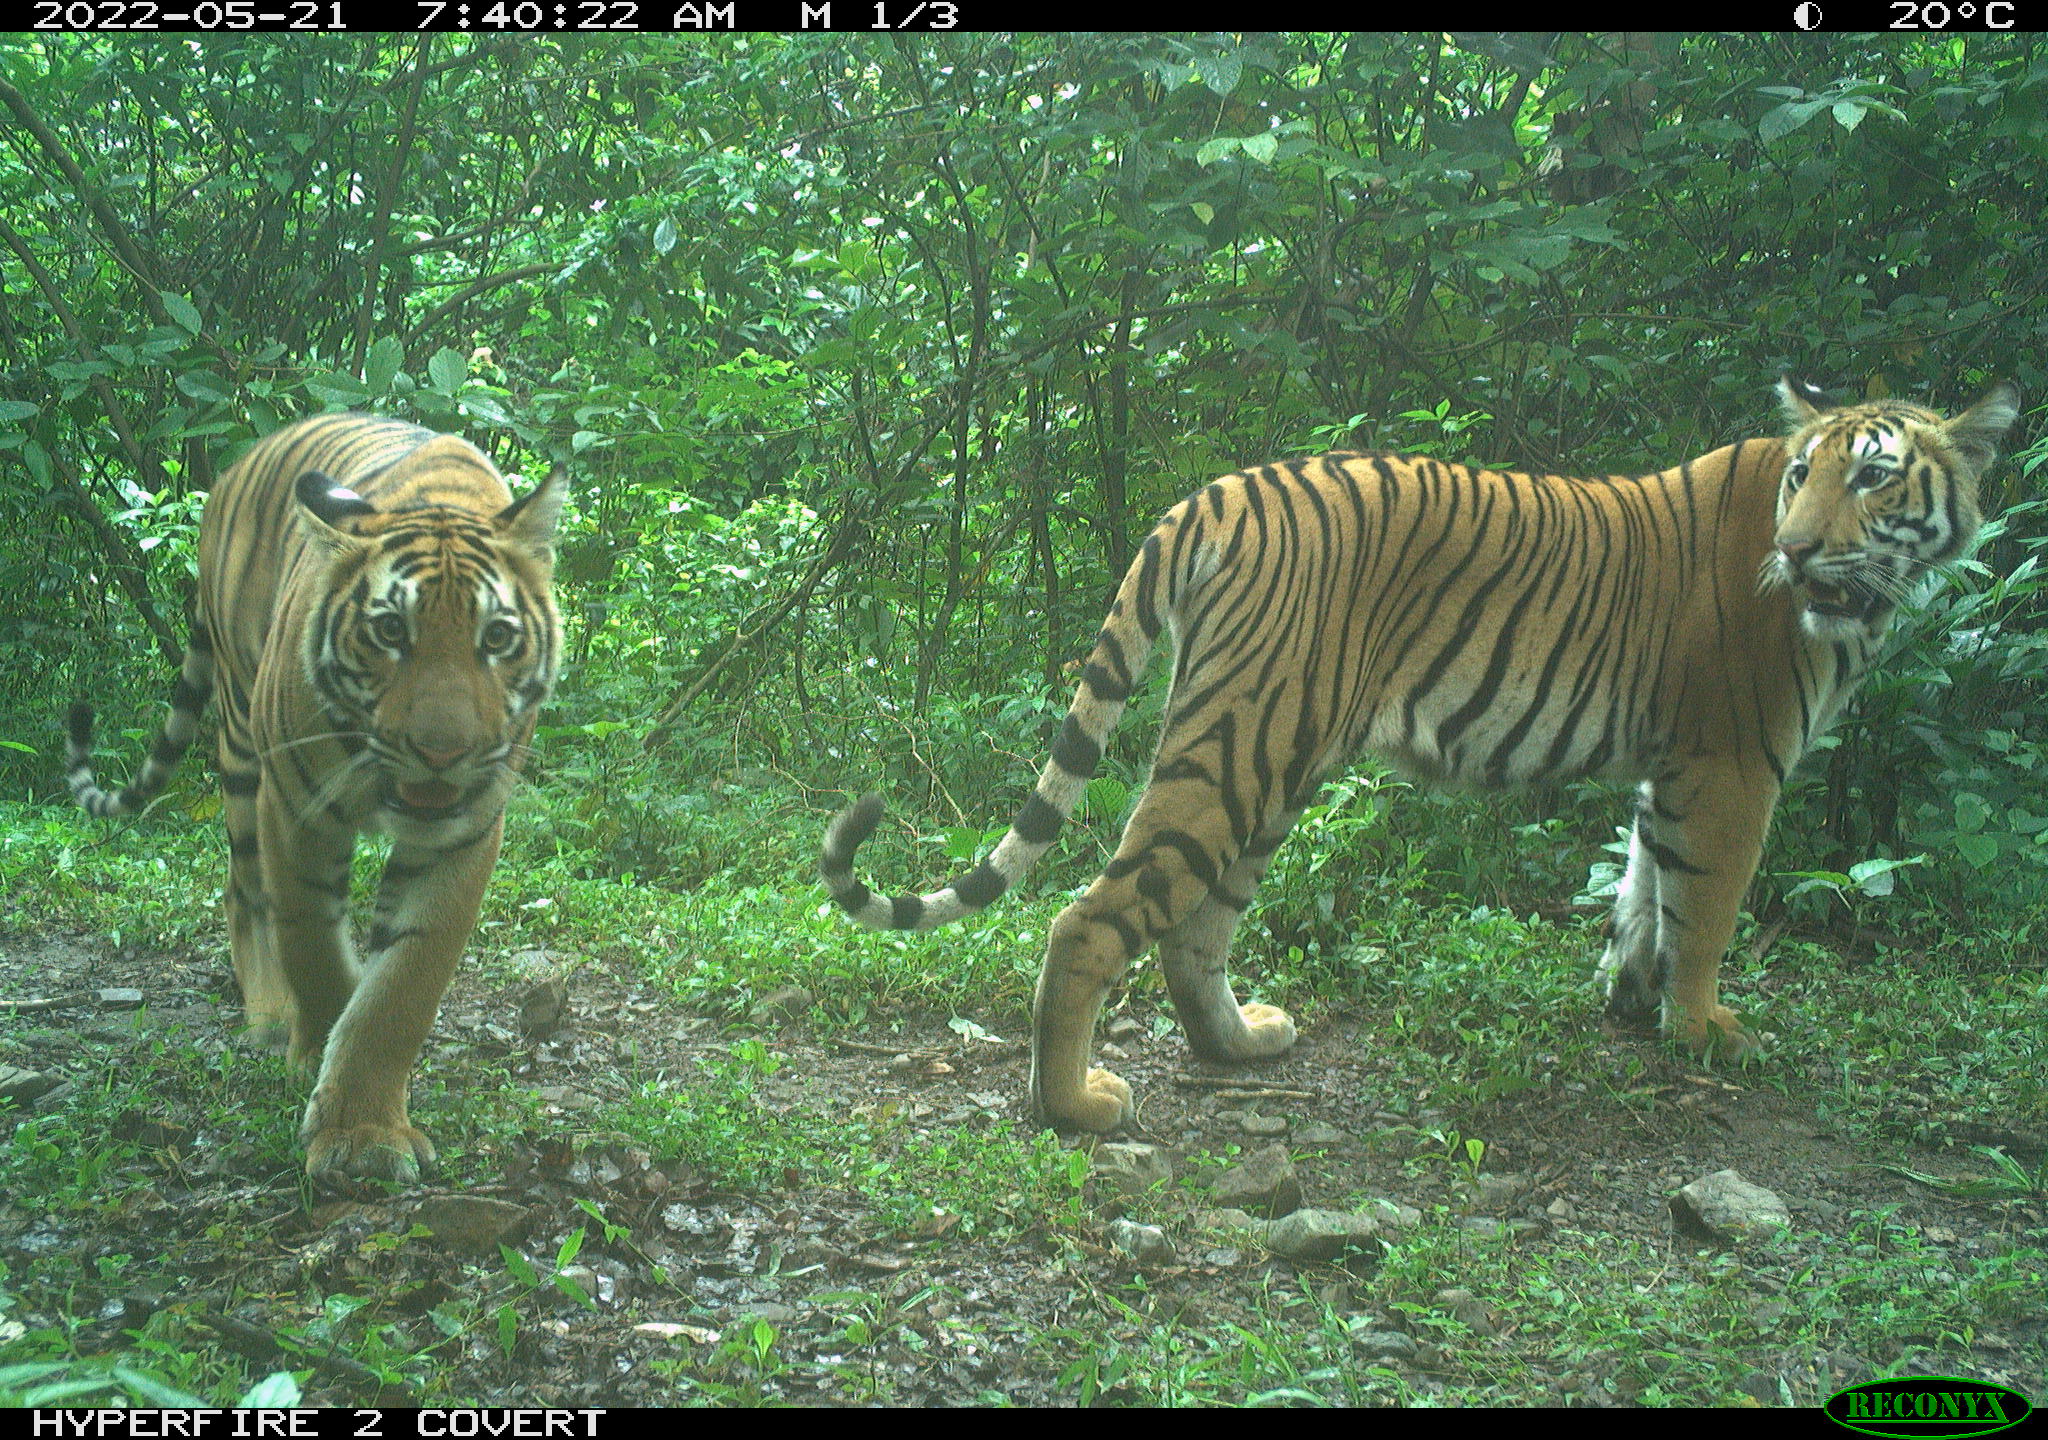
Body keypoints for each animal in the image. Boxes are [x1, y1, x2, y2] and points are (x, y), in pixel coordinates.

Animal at [66, 413, 566, 1182]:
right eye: (390, 630)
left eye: (498, 637)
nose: (443, 752)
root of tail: (238, 465)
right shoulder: (295, 806)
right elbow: (313, 945)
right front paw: (324, 1066)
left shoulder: (465, 833)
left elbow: (403, 986)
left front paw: (364, 1127)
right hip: (241, 750)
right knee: (243, 891)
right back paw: (274, 1020)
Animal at [822, 377, 2019, 1133]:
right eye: (1804, 474)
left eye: (1870, 477)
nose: (1797, 550)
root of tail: (1218, 488)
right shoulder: (1732, 766)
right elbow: (1706, 909)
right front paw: (1702, 1032)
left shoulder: (1668, 766)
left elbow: (1644, 887)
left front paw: (1630, 1002)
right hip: (1244, 744)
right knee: (1092, 917)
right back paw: (1071, 1107)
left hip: (1269, 753)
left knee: (1196, 928)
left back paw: (1238, 1046)